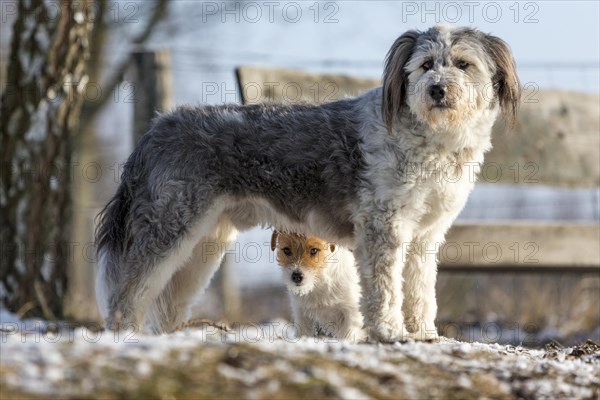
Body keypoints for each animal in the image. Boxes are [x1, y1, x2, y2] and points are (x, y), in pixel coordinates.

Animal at [96, 25, 516, 340]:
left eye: (463, 63)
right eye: (426, 64)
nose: (437, 89)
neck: (431, 138)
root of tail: (157, 127)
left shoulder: (425, 236)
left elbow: (419, 291)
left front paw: (422, 334)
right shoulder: (384, 227)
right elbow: (384, 289)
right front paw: (389, 332)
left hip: (203, 244)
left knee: (165, 305)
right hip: (167, 230)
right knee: (127, 295)